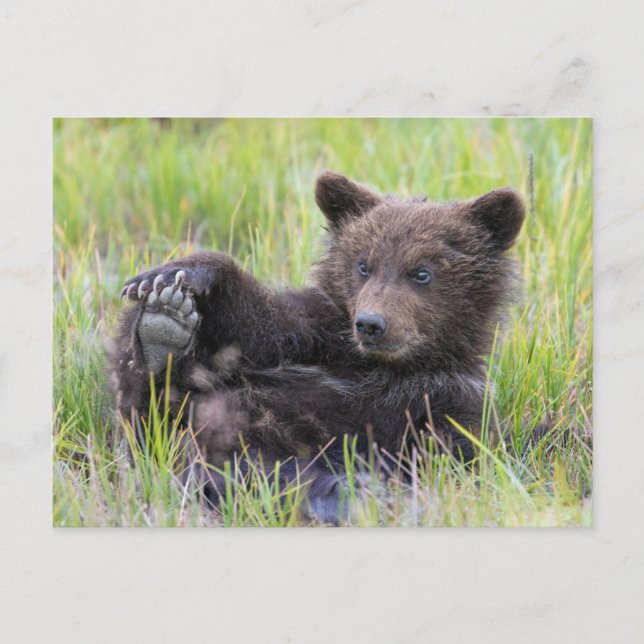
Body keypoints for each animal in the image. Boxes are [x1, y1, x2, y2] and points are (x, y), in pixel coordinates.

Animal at [111, 171, 525, 523]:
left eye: (422, 272)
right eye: (363, 265)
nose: (371, 323)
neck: (388, 366)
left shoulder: (449, 396)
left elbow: (450, 457)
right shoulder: (317, 338)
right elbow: (262, 325)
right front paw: (174, 275)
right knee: (151, 418)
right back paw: (161, 331)